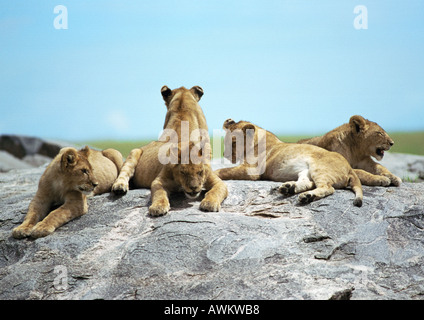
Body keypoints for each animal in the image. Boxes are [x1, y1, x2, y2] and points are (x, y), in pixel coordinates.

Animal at [111, 85, 227, 215]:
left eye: (200, 172)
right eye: (183, 172)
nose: (193, 188)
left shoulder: (217, 181)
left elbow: (216, 191)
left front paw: (210, 203)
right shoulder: (158, 181)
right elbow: (159, 194)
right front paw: (158, 207)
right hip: (134, 152)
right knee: (125, 171)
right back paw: (120, 187)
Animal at [215, 119, 364, 206]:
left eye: (234, 142)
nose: (224, 154)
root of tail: (350, 168)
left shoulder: (252, 170)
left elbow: (222, 170)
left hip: (319, 168)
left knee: (328, 188)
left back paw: (306, 196)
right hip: (306, 171)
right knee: (308, 183)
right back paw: (290, 188)